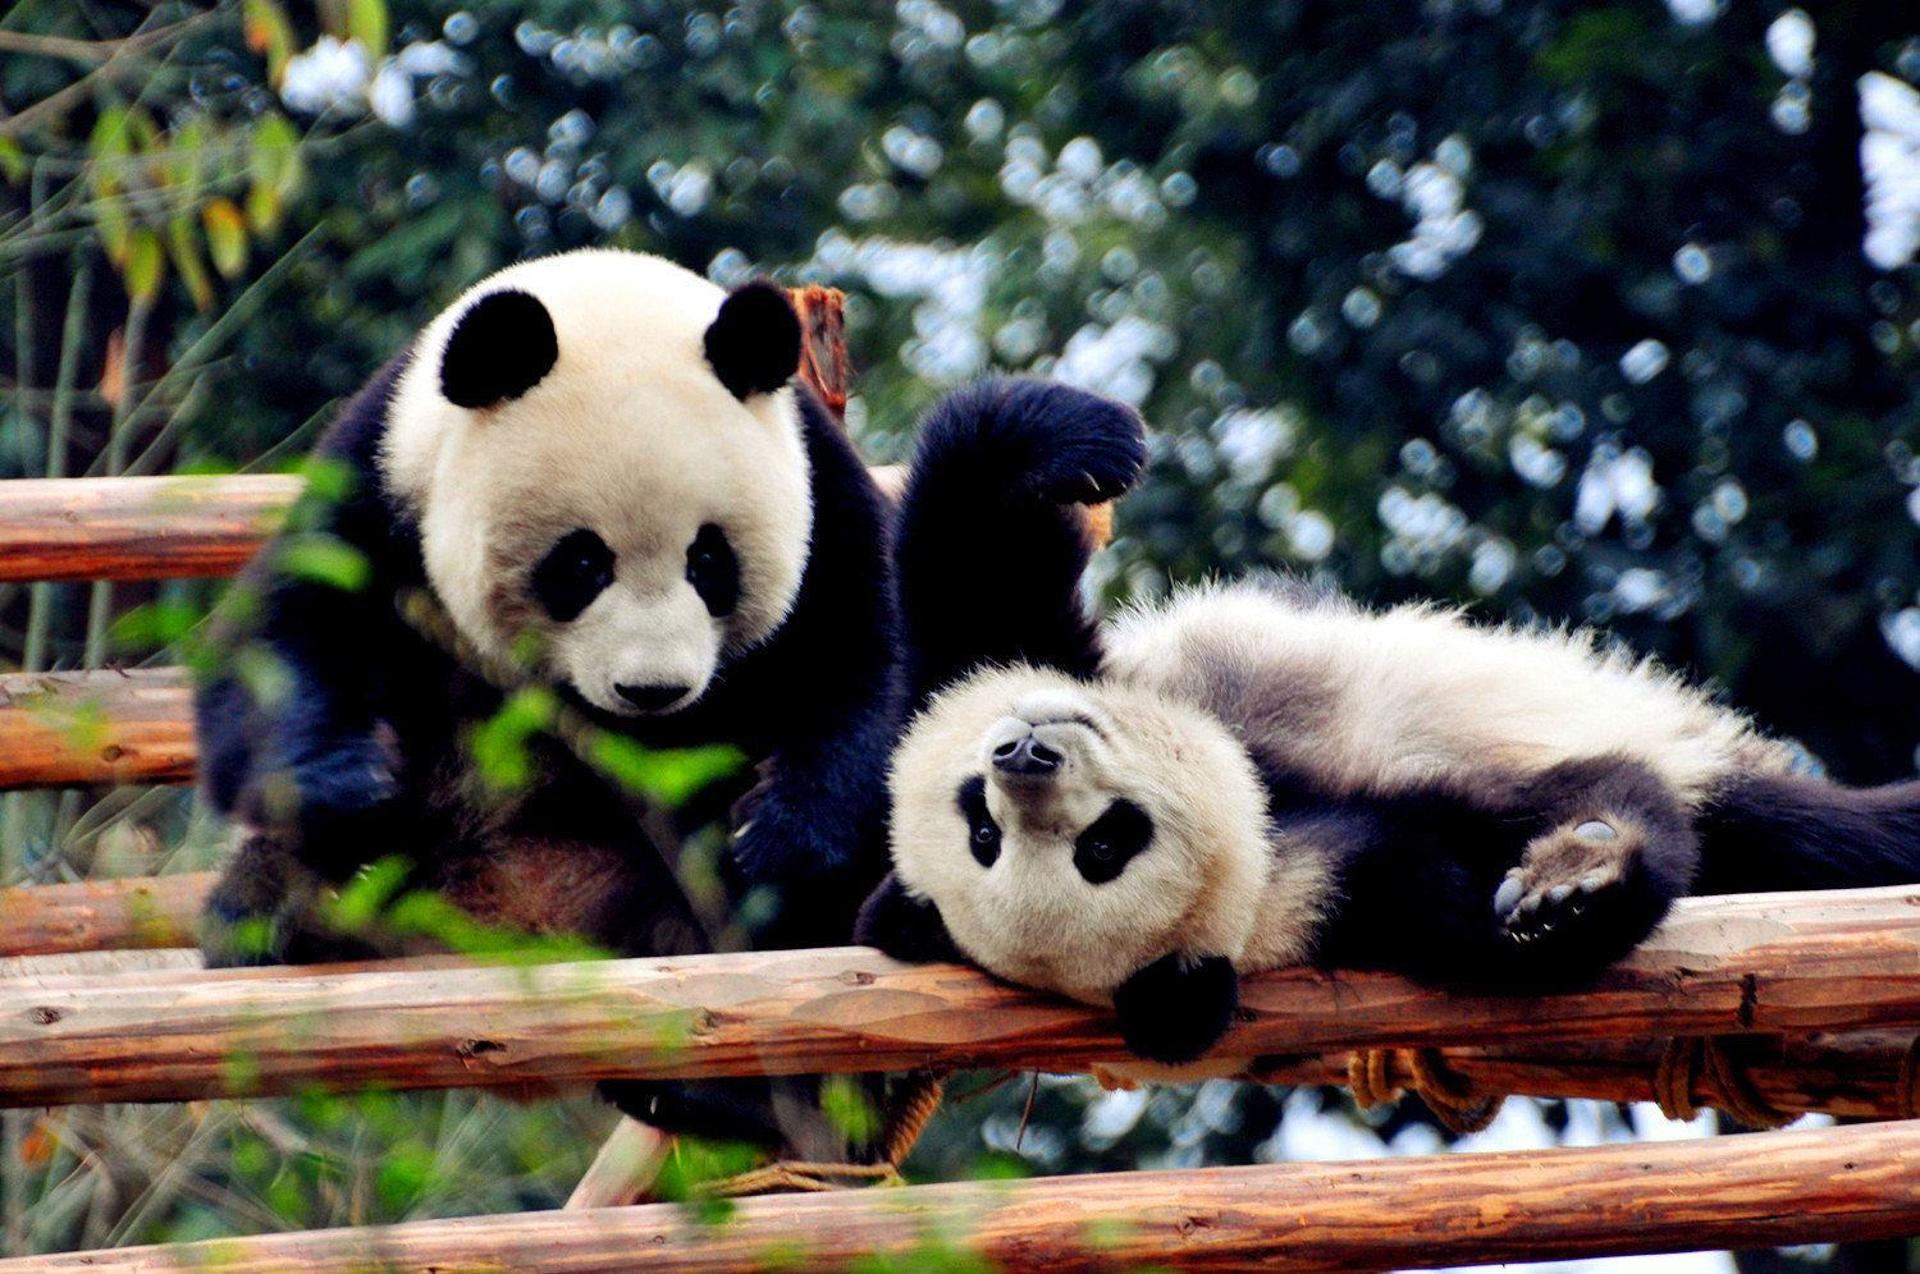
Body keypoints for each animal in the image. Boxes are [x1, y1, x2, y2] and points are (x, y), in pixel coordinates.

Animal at [195, 248, 902, 1153]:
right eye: (582, 562)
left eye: (709, 559)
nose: (652, 691)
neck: (606, 299)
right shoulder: (380, 478)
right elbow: (281, 639)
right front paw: (346, 785)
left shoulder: (822, 496)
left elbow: (875, 667)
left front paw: (782, 833)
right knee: (271, 886)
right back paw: (284, 911)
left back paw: (725, 1093)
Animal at [858, 438, 1920, 1069]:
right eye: (1102, 853)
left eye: (977, 824)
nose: (1024, 756)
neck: (1264, 816)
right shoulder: (1362, 890)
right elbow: (1550, 850)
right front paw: (1576, 885)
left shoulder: (1012, 652)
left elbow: (967, 559)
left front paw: (1068, 440)